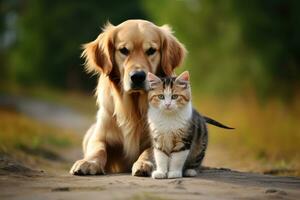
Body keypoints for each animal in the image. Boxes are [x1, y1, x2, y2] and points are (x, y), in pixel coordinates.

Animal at [69, 19, 185, 176]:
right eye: (124, 50)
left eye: (151, 50)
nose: (137, 76)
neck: (133, 110)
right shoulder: (99, 135)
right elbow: (98, 149)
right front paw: (89, 162)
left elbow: (150, 150)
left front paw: (144, 163)